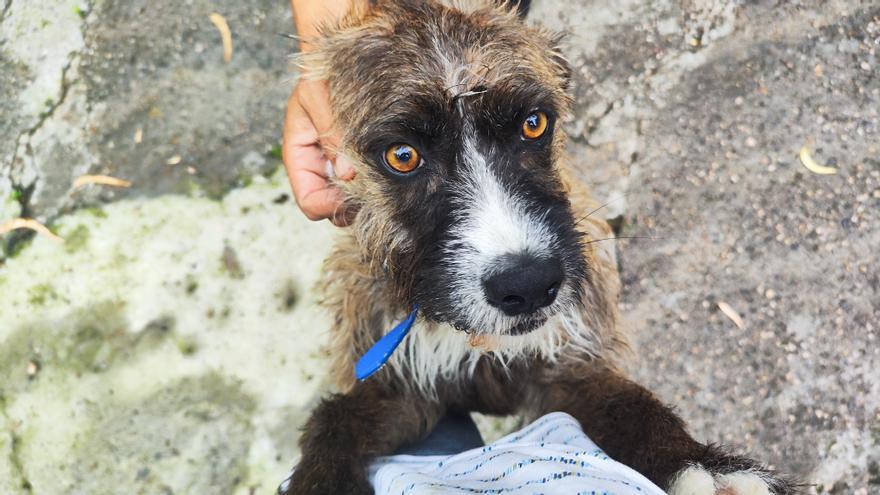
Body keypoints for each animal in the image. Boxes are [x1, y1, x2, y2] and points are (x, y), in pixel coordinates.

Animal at [280, 0, 796, 495]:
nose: (527, 286)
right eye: (402, 156)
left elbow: (629, 404)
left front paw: (697, 465)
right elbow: (336, 420)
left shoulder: (566, 374)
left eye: (534, 124)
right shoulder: (402, 390)